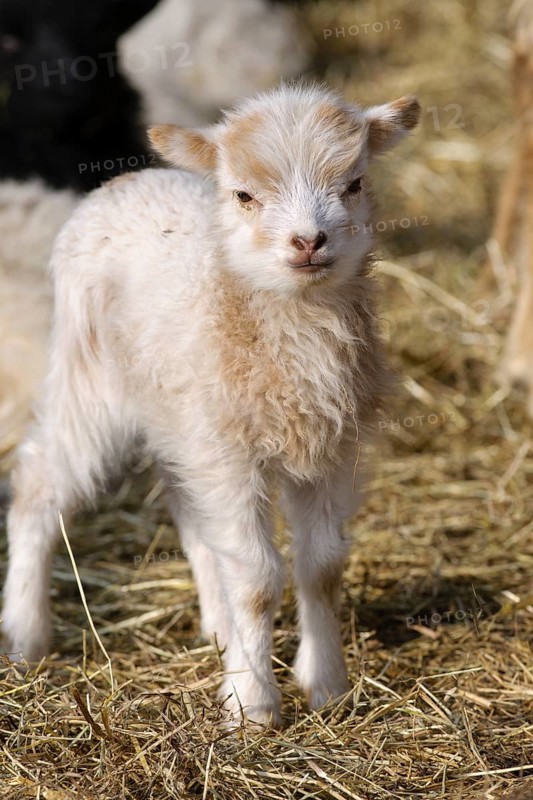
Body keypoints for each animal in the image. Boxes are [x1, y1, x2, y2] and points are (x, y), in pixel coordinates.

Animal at [1, 83, 420, 727]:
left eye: (353, 183)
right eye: (244, 195)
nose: (308, 241)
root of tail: (130, 180)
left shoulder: (331, 449)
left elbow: (320, 567)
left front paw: (326, 687)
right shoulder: (229, 453)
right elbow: (258, 578)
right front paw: (253, 707)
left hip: (178, 415)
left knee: (188, 508)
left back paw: (221, 631)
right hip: (90, 375)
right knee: (40, 481)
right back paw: (25, 635)